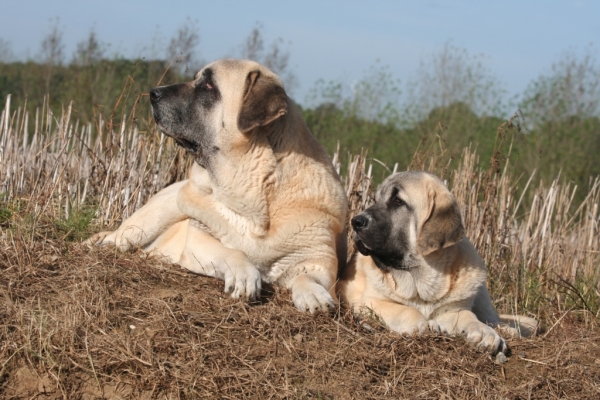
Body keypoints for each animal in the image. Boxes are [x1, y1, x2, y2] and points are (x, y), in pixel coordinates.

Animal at [88, 58, 346, 312]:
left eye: (208, 85)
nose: (153, 92)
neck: (255, 189)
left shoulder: (318, 258)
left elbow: (307, 276)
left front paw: (313, 295)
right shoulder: (199, 240)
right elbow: (234, 252)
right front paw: (245, 276)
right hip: (155, 214)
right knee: (119, 237)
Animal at [338, 171, 540, 354]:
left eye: (398, 201)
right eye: (375, 199)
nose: (356, 221)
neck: (421, 281)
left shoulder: (452, 311)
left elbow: (468, 316)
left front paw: (486, 333)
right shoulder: (369, 302)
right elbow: (406, 310)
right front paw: (423, 324)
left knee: (493, 319)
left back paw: (507, 329)